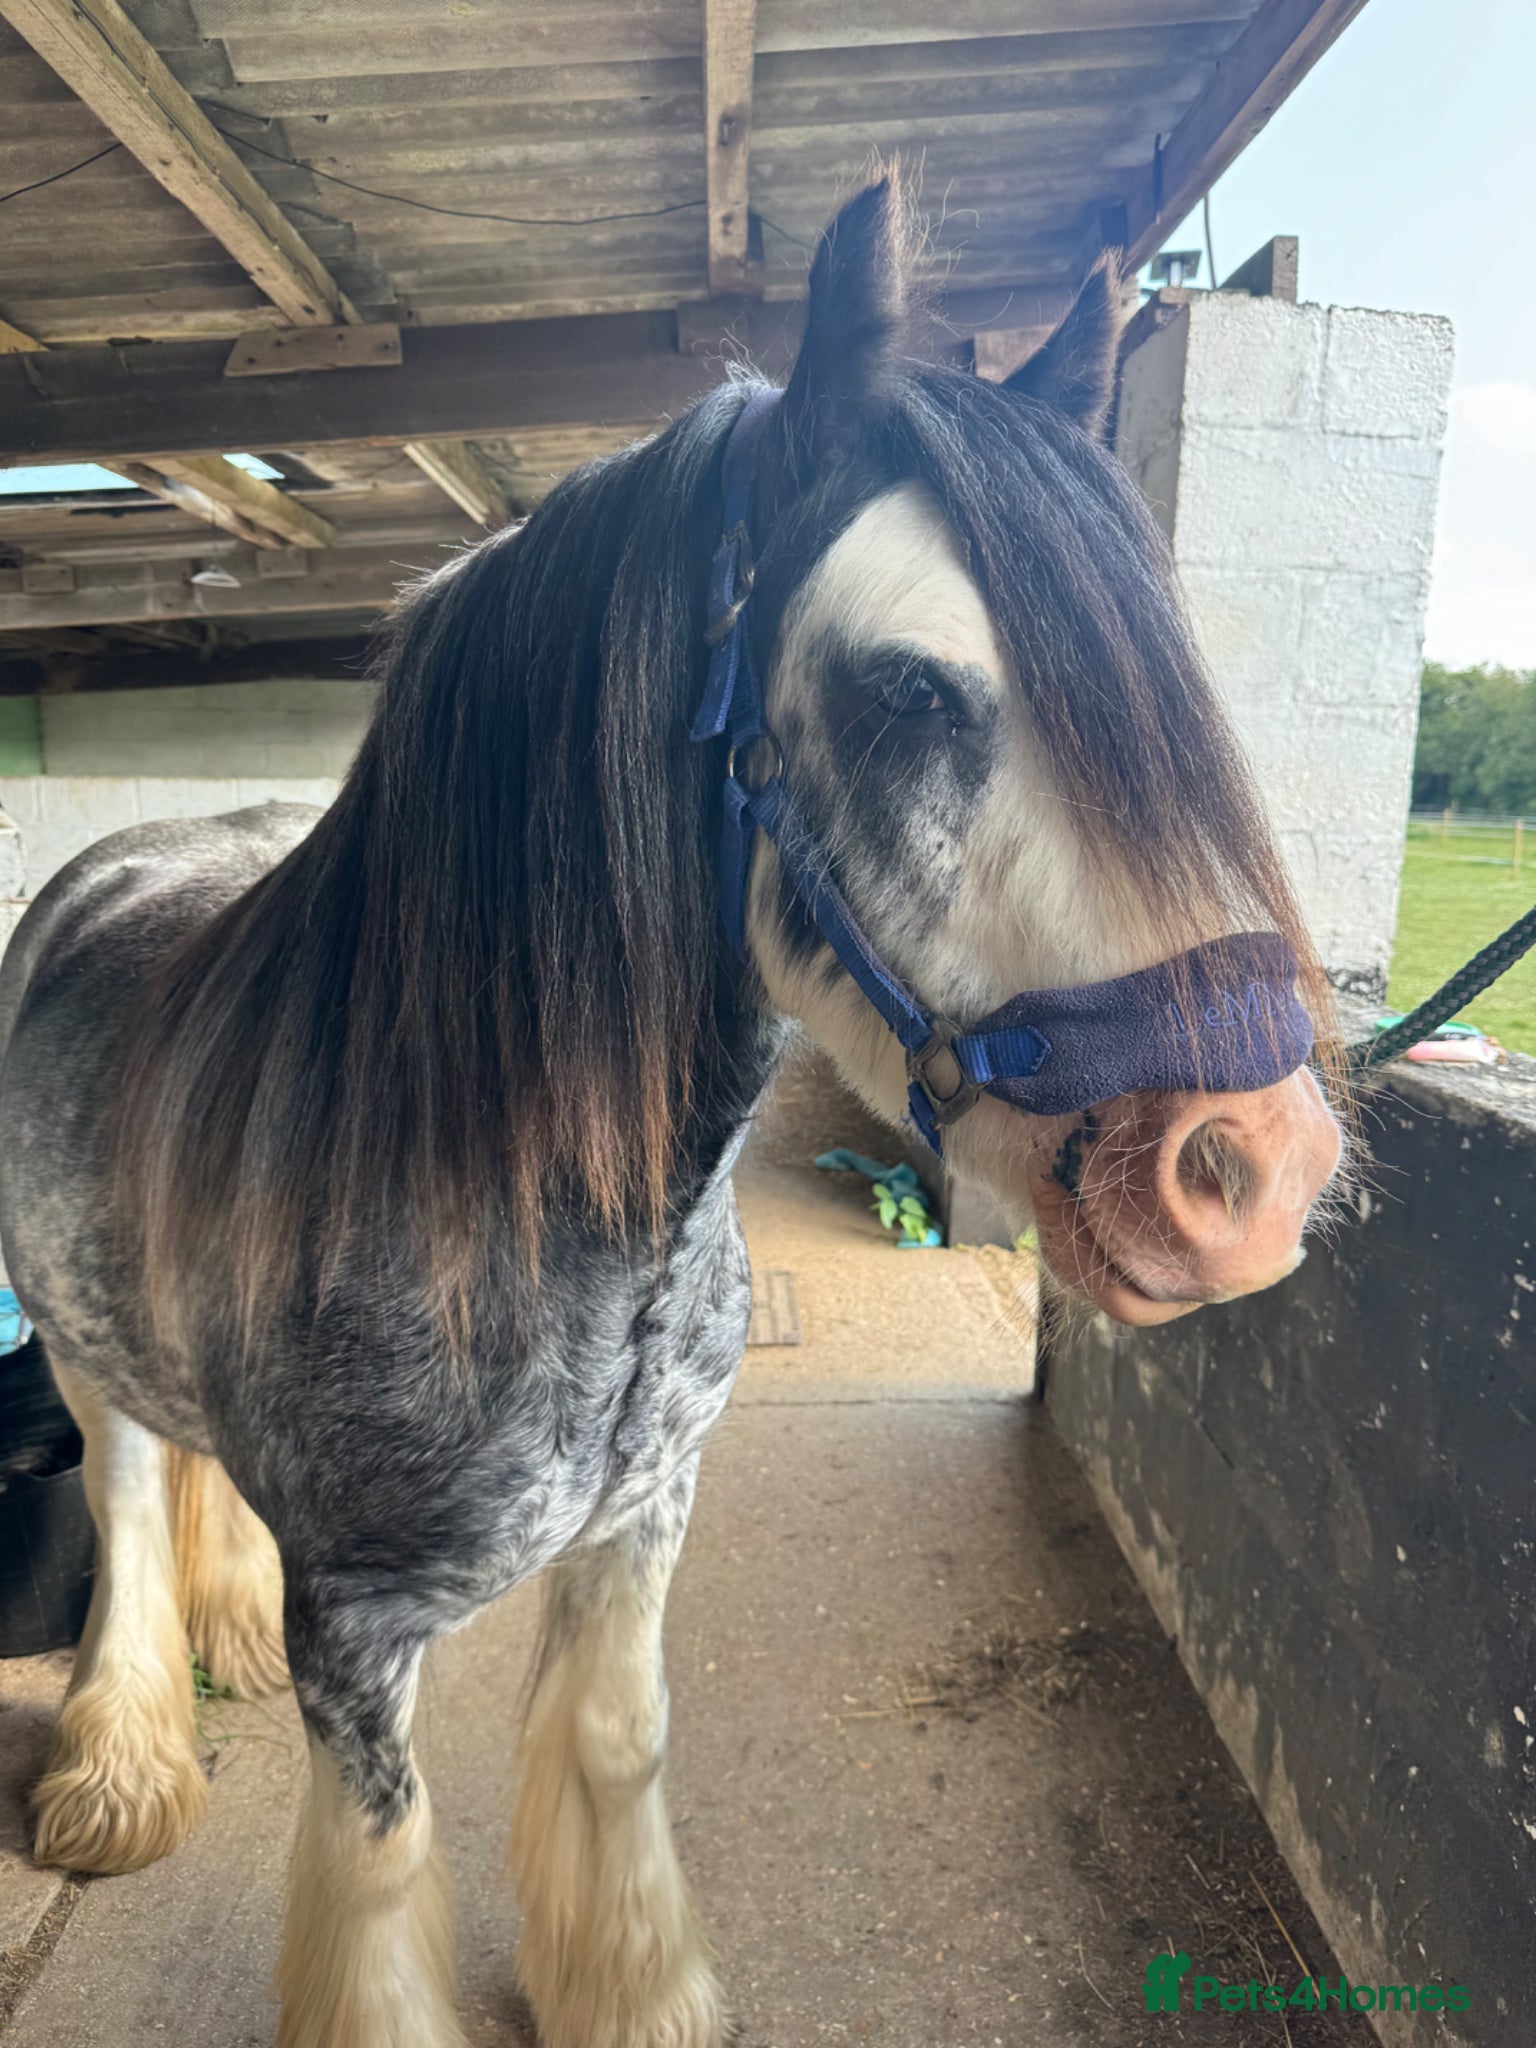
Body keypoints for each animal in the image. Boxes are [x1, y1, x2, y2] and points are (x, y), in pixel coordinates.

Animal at [0, 178, 1342, 2048]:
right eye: (909, 688)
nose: (1255, 1171)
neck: (544, 1230)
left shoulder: (642, 1524)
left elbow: (619, 1750)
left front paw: (631, 1992)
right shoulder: (368, 1637)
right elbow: (381, 1869)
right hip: (73, 1342)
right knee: (129, 1495)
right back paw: (121, 1773)